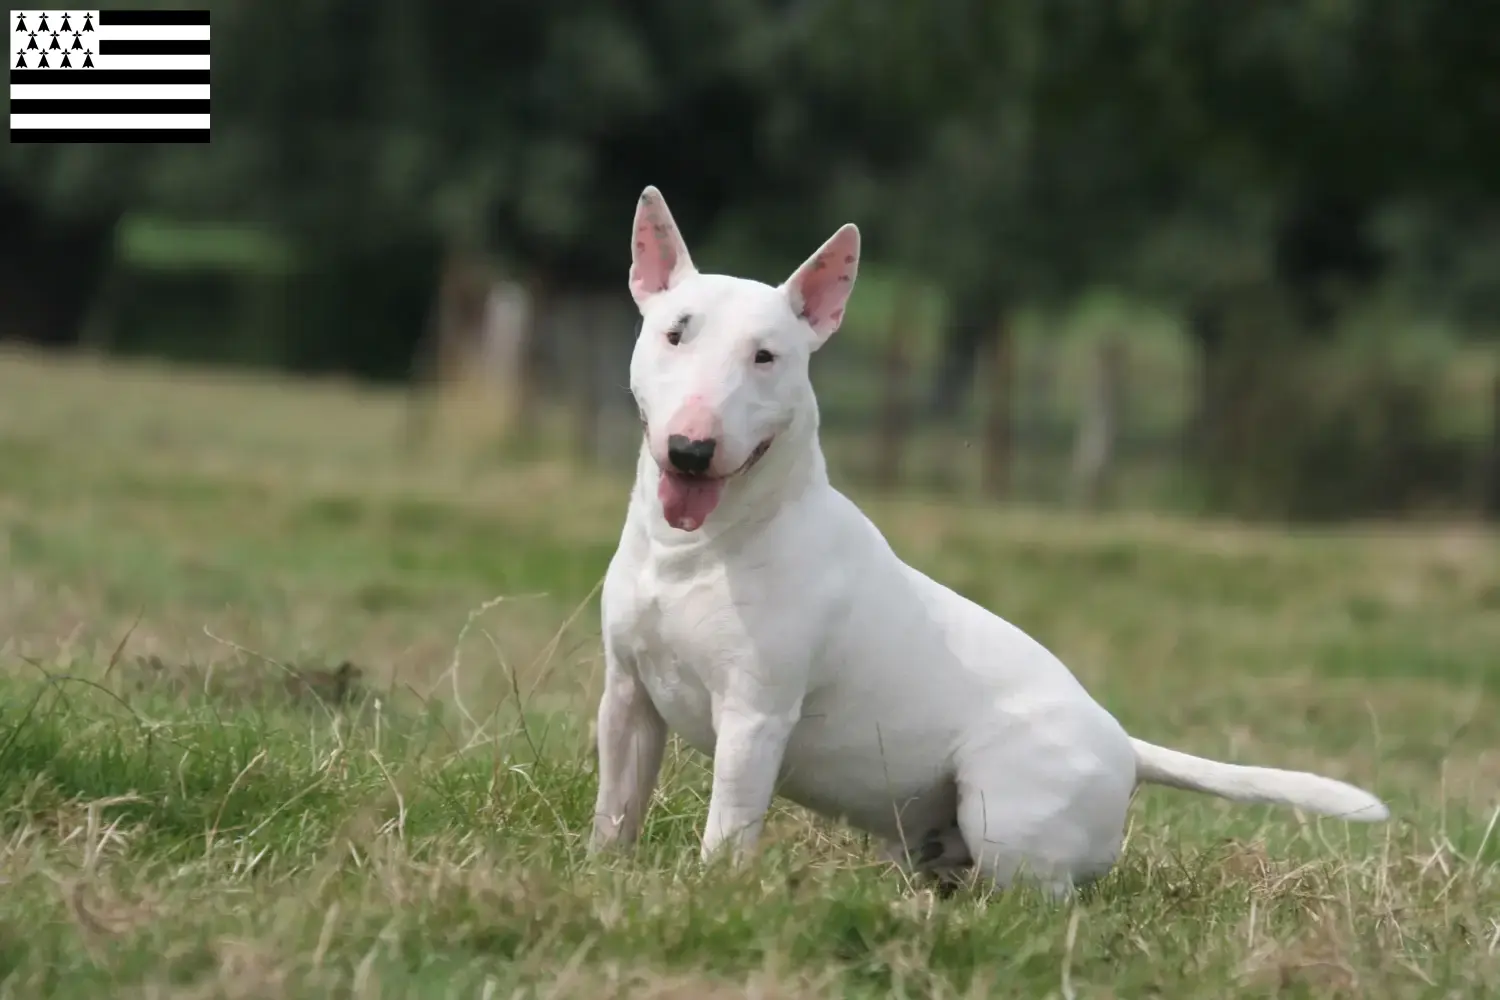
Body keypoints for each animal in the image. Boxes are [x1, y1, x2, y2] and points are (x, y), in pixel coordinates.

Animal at [591, 187, 1386, 899]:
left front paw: (711, 891)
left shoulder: (755, 717)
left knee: (1042, 895)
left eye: (766, 357)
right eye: (674, 333)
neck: (698, 550)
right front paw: (603, 873)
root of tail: (1126, 747)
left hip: (1004, 810)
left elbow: (729, 826)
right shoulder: (627, 694)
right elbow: (617, 806)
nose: (692, 450)